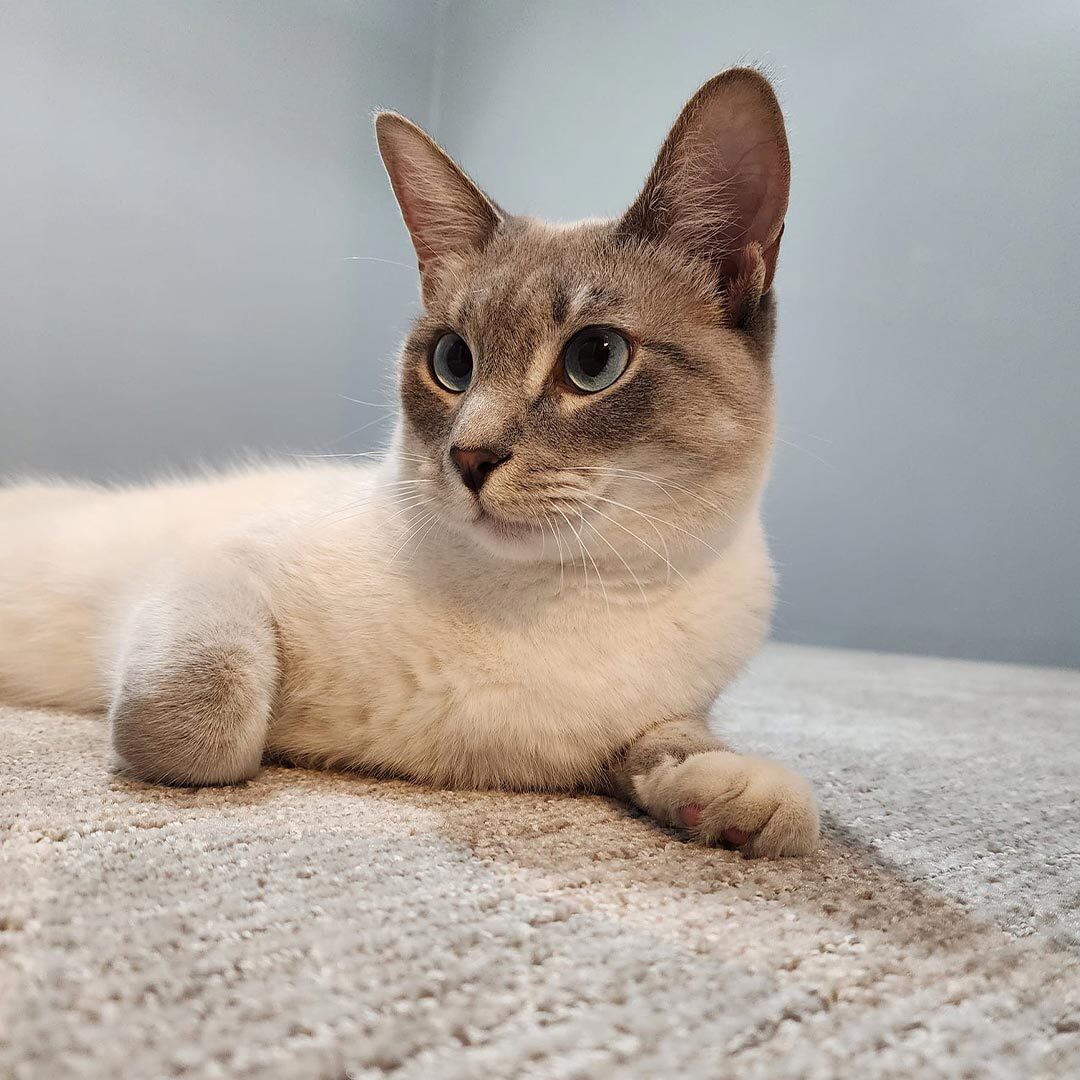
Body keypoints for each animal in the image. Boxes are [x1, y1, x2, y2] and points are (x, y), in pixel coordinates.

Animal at [0, 69, 816, 859]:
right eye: (453, 361)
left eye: (595, 360)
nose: (470, 457)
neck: (549, 600)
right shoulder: (212, 571)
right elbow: (200, 733)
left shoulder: (643, 722)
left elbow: (678, 746)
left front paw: (742, 801)